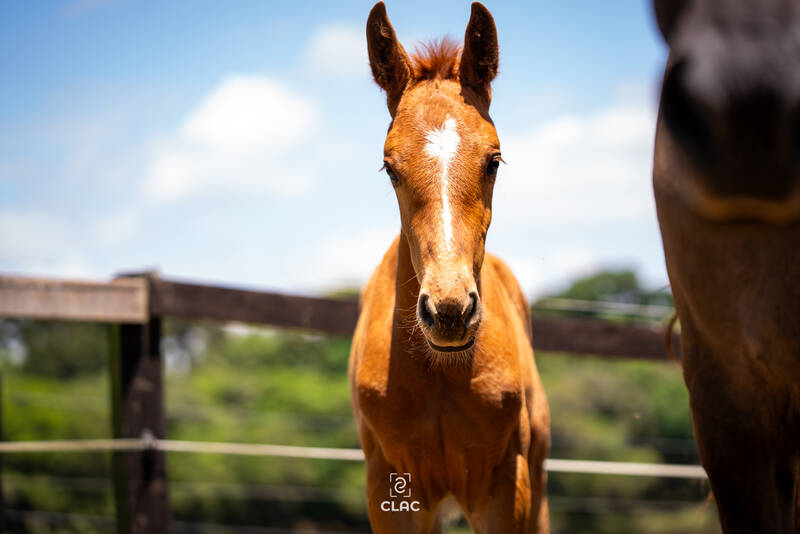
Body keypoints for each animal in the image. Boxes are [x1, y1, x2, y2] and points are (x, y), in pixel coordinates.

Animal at [350, 4, 552, 534]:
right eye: (389, 167)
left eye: (494, 160)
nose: (449, 310)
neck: (440, 373)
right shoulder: (391, 489)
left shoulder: (506, 485)